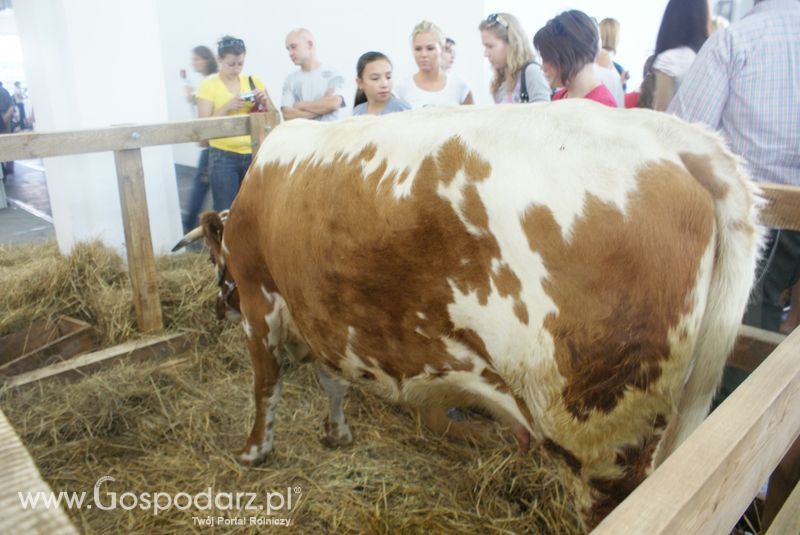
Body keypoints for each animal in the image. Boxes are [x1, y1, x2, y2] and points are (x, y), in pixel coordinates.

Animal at [188, 102, 764, 528]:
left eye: (217, 263)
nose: (218, 306)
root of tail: (670, 138)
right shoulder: (326, 318)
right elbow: (334, 380)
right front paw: (336, 435)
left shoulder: (261, 302)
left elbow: (266, 385)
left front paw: (253, 452)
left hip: (599, 439)